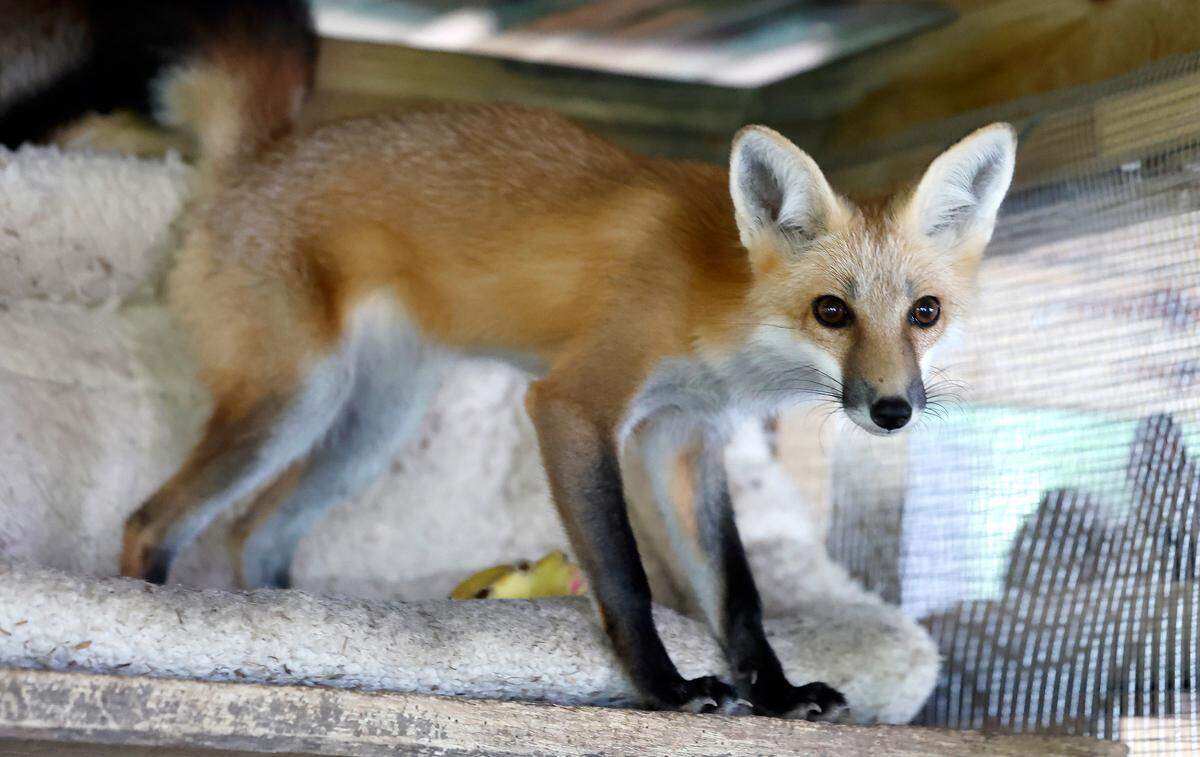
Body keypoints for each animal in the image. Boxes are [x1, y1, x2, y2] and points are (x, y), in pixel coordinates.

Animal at [117, 58, 1016, 718]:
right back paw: (146, 618)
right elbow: (627, 575)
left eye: (925, 313)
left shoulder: (680, 436)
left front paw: (777, 691)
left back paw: (304, 627)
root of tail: (260, 161)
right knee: (153, 518)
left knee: (256, 532)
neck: (716, 306)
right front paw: (666, 688)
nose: (893, 410)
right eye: (832, 311)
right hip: (296, 399)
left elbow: (739, 593)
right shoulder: (575, 403)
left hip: (373, 424)